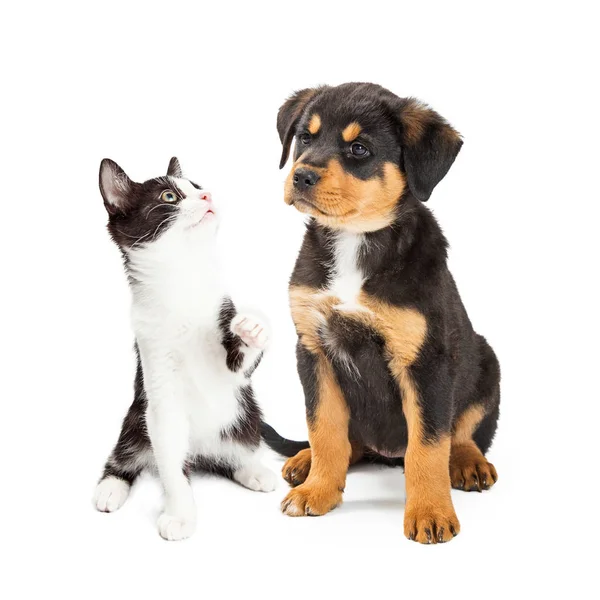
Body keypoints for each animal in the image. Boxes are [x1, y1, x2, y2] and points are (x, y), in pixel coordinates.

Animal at [94, 158, 276, 540]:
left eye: (197, 185)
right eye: (169, 196)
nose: (207, 195)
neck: (182, 280)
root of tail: (202, 450)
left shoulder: (225, 336)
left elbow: (240, 365)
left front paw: (253, 326)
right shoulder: (156, 372)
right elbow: (171, 464)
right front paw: (180, 515)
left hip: (245, 419)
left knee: (232, 456)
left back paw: (253, 470)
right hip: (135, 420)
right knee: (126, 454)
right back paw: (110, 488)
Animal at [262, 82, 502, 548]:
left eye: (359, 149)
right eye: (305, 138)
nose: (301, 176)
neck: (355, 242)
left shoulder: (425, 361)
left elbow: (429, 445)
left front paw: (430, 513)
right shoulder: (314, 349)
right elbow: (324, 429)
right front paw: (319, 490)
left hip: (487, 363)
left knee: (463, 432)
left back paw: (467, 462)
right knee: (348, 441)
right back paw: (304, 462)